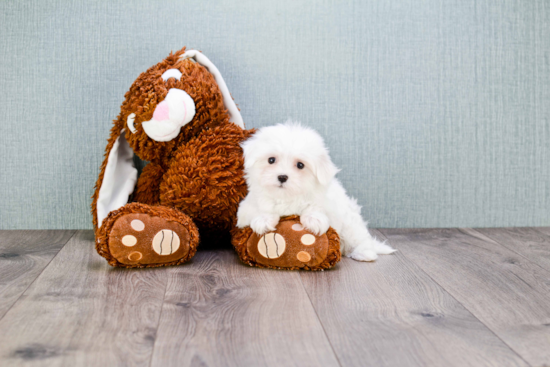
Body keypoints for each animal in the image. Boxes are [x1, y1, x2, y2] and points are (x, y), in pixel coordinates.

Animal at [237, 122, 396, 264]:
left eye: (300, 165)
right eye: (271, 160)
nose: (282, 177)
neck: (286, 197)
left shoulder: (331, 206)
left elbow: (316, 207)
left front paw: (314, 219)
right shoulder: (245, 210)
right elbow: (260, 209)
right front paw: (263, 220)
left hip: (351, 224)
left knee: (361, 239)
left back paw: (364, 253)